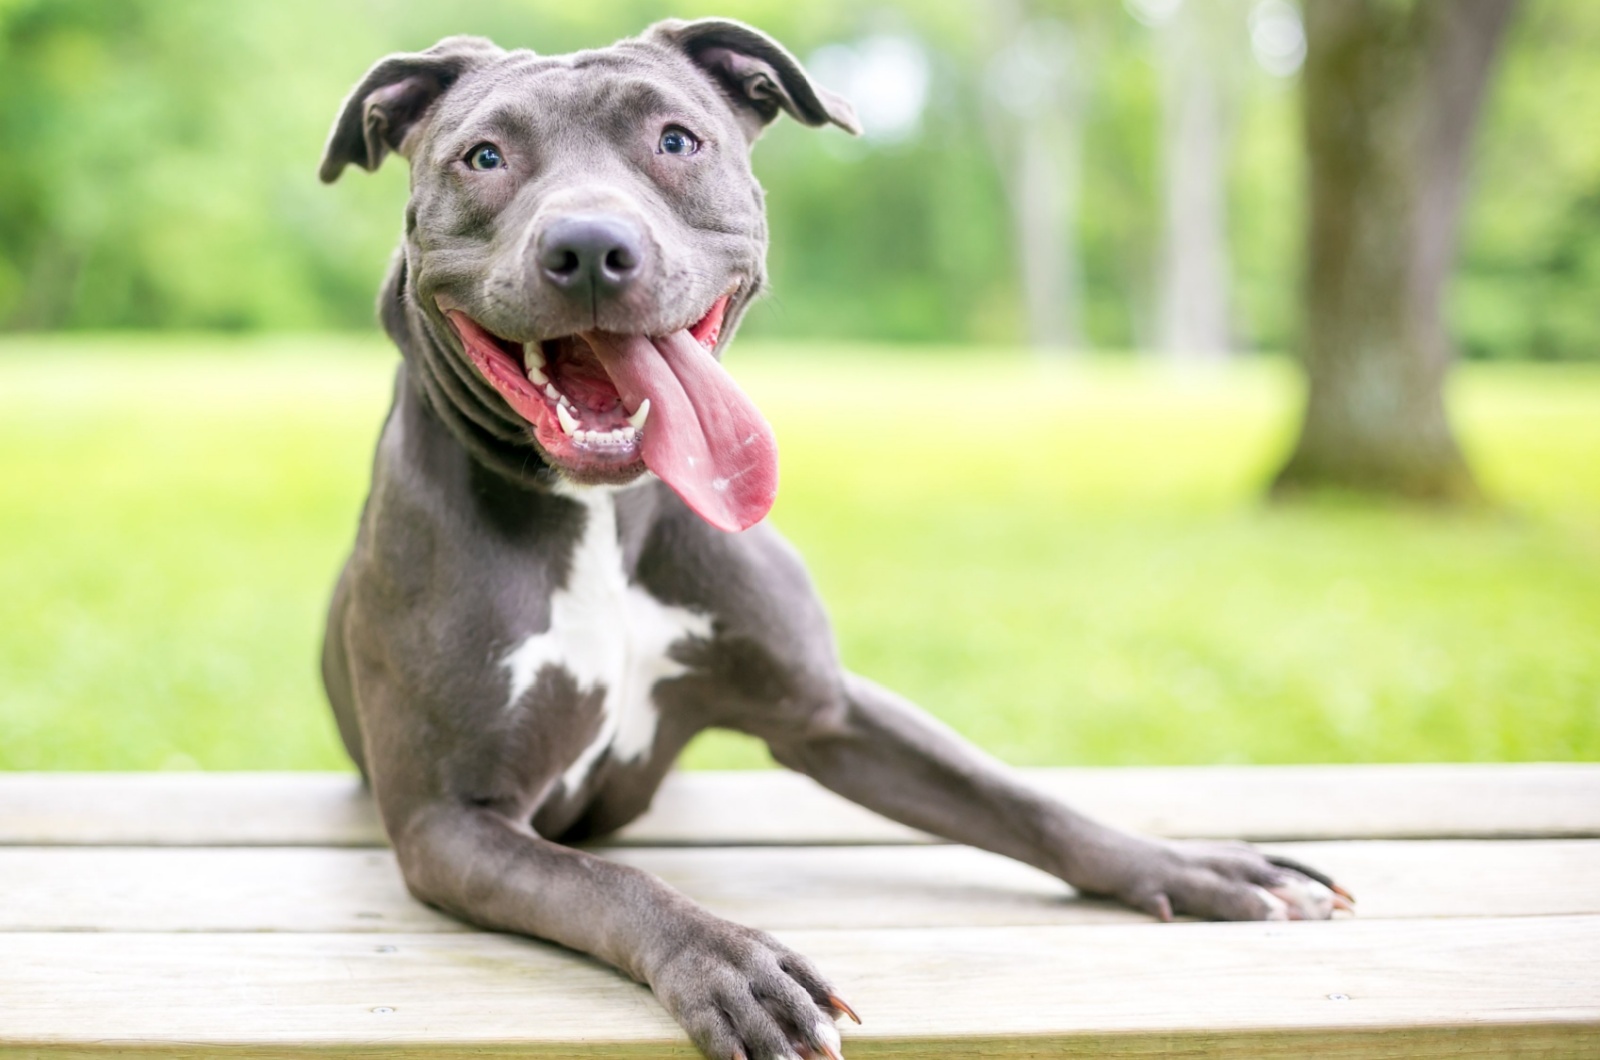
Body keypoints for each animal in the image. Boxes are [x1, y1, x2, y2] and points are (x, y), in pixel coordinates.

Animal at [315, 18, 1350, 1060]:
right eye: (485, 157)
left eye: (677, 140)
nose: (592, 245)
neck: (604, 516)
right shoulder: (450, 823)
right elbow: (606, 879)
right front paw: (730, 964)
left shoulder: (828, 709)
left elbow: (1021, 799)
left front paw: (1191, 864)